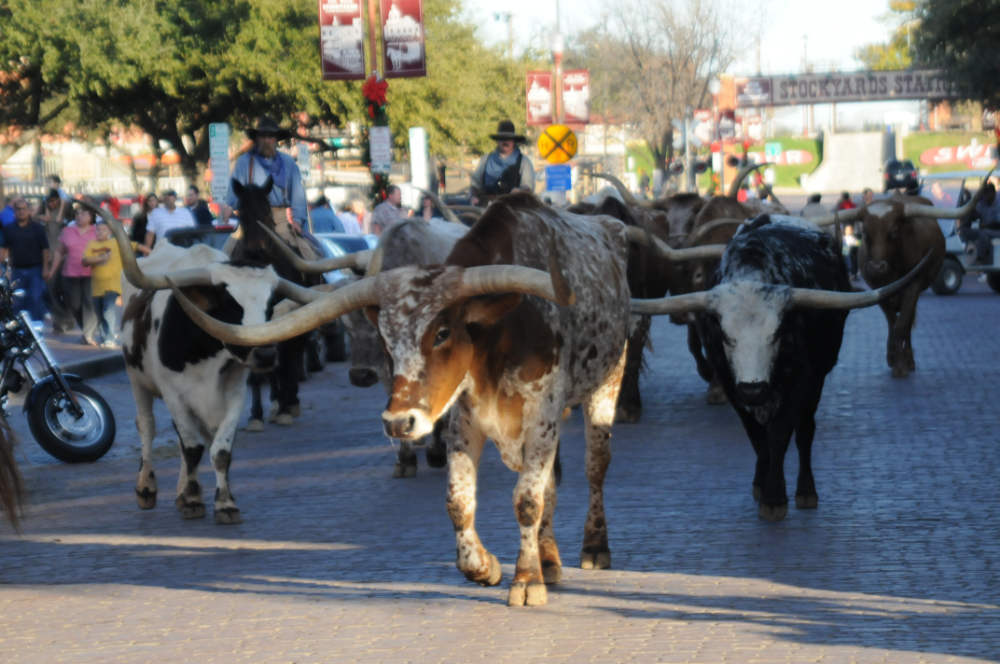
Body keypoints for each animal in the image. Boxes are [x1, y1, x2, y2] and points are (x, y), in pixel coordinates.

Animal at [82, 200, 314, 524]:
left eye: (270, 304)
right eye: (229, 304)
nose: (266, 354)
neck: (209, 355)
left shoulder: (234, 395)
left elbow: (220, 451)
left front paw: (222, 502)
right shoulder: (174, 394)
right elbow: (192, 448)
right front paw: (193, 500)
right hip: (136, 378)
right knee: (147, 426)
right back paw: (146, 489)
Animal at [171, 193, 632, 607]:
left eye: (442, 333)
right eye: (386, 341)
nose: (398, 423)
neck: (500, 335)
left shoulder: (542, 413)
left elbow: (527, 500)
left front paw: (525, 580)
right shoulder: (464, 417)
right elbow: (459, 501)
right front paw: (485, 567)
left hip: (605, 383)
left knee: (595, 467)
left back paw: (593, 548)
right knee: (552, 480)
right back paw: (549, 561)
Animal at [632, 215, 932, 521]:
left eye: (776, 333)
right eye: (726, 335)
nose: (753, 390)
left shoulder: (802, 380)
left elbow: (780, 434)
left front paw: (775, 498)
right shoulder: (730, 385)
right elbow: (757, 437)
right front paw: (762, 486)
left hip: (819, 377)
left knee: (805, 431)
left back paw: (806, 491)